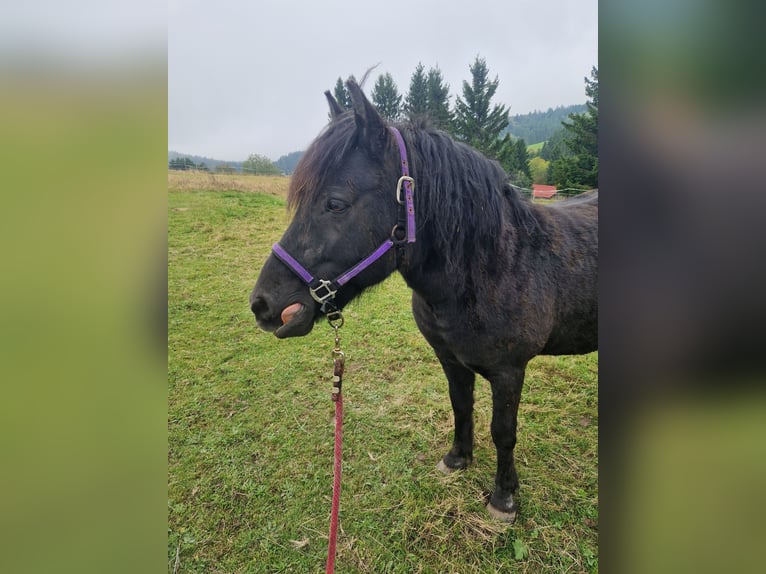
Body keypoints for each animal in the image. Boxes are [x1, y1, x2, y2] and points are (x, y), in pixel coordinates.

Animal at [250, 79, 598, 522]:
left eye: (335, 204)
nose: (263, 304)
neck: (492, 265)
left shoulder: (509, 372)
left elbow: (504, 433)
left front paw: (503, 498)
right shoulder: (451, 359)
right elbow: (461, 406)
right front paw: (457, 459)